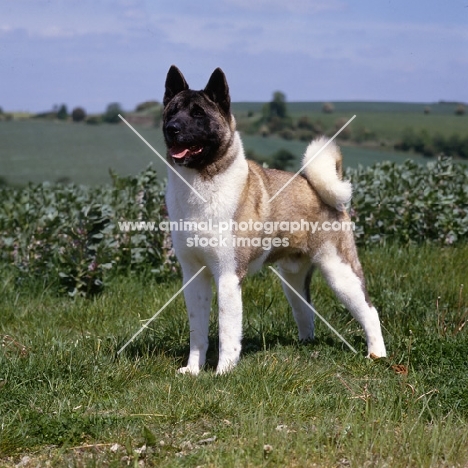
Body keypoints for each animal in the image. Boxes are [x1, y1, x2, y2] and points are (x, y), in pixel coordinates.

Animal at [163, 65, 386, 376]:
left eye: (198, 114)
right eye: (172, 112)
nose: (172, 129)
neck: (200, 183)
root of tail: (315, 187)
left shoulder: (228, 277)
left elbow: (227, 331)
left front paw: (222, 373)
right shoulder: (194, 276)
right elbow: (198, 331)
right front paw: (193, 370)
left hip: (340, 272)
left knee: (369, 310)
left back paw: (377, 354)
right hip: (292, 279)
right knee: (305, 310)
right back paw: (305, 345)